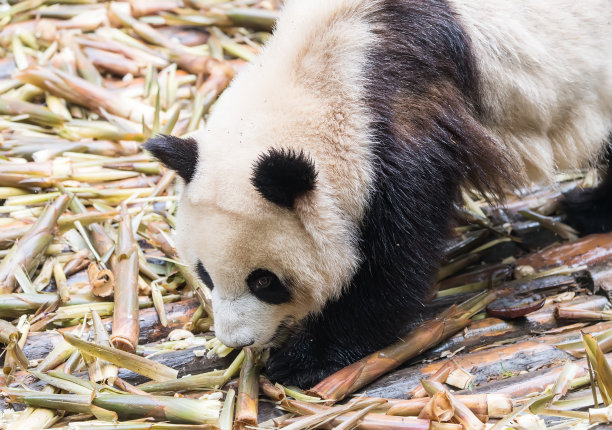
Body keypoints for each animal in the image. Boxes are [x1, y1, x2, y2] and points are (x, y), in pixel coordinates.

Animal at [147, 0, 612, 384]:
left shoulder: (403, 125)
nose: (237, 340)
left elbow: (395, 261)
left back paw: (589, 209)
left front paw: (304, 358)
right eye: (205, 273)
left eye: (264, 281)